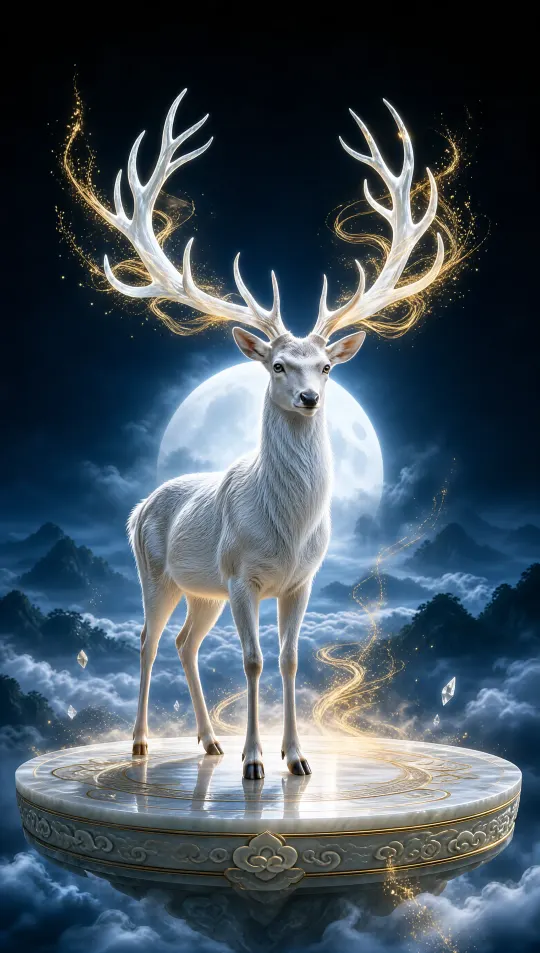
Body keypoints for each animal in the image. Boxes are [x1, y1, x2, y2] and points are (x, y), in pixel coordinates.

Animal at [98, 91, 444, 779]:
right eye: (279, 365)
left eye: (328, 366)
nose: (310, 397)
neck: (286, 531)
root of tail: (139, 507)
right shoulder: (240, 575)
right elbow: (254, 660)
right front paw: (256, 761)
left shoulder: (301, 580)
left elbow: (287, 660)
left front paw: (297, 757)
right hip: (158, 573)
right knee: (148, 640)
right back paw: (143, 742)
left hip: (200, 591)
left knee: (184, 642)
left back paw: (208, 740)